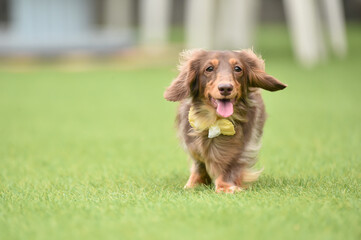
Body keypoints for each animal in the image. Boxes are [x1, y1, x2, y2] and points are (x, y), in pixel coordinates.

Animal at [164, 49, 286, 193]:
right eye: (209, 68)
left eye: (238, 68)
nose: (226, 88)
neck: (215, 122)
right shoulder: (193, 147)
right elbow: (199, 165)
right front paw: (193, 184)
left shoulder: (241, 151)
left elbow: (230, 167)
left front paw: (226, 186)